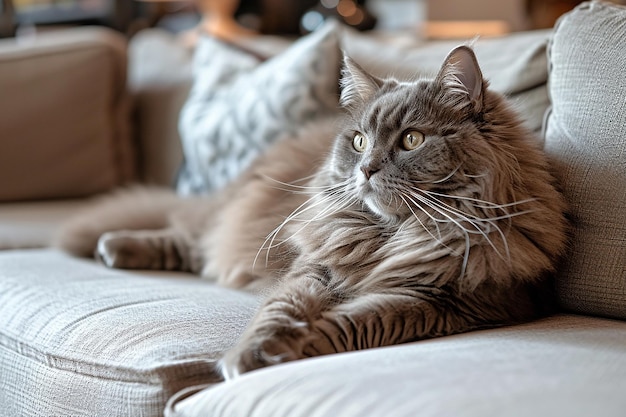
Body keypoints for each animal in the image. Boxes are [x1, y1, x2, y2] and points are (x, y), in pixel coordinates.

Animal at [57, 45, 564, 376]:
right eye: (359, 141)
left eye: (412, 140)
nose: (365, 169)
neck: (390, 236)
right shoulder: (316, 266)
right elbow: (280, 310)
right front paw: (253, 352)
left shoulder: (442, 301)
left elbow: (356, 322)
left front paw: (287, 351)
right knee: (192, 238)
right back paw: (113, 246)